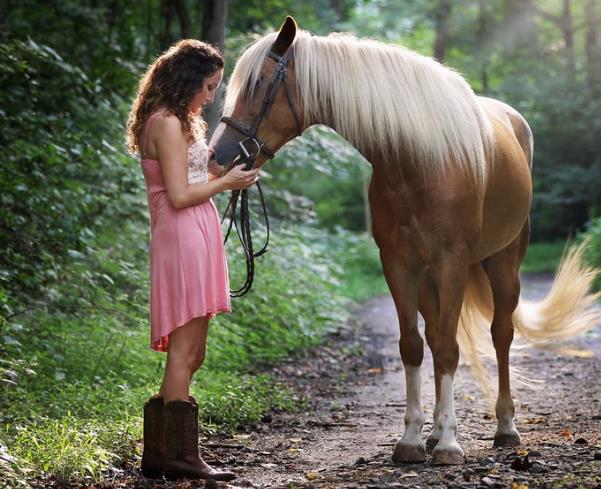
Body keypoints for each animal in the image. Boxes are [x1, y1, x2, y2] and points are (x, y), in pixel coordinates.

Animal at [207, 16, 600, 466]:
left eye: (258, 84)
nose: (217, 156)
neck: (418, 159)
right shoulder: (398, 263)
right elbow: (414, 346)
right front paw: (413, 439)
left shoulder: (451, 260)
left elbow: (449, 349)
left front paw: (449, 446)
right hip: (430, 278)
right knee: (437, 333)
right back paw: (435, 432)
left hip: (503, 264)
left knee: (500, 334)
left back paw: (504, 428)